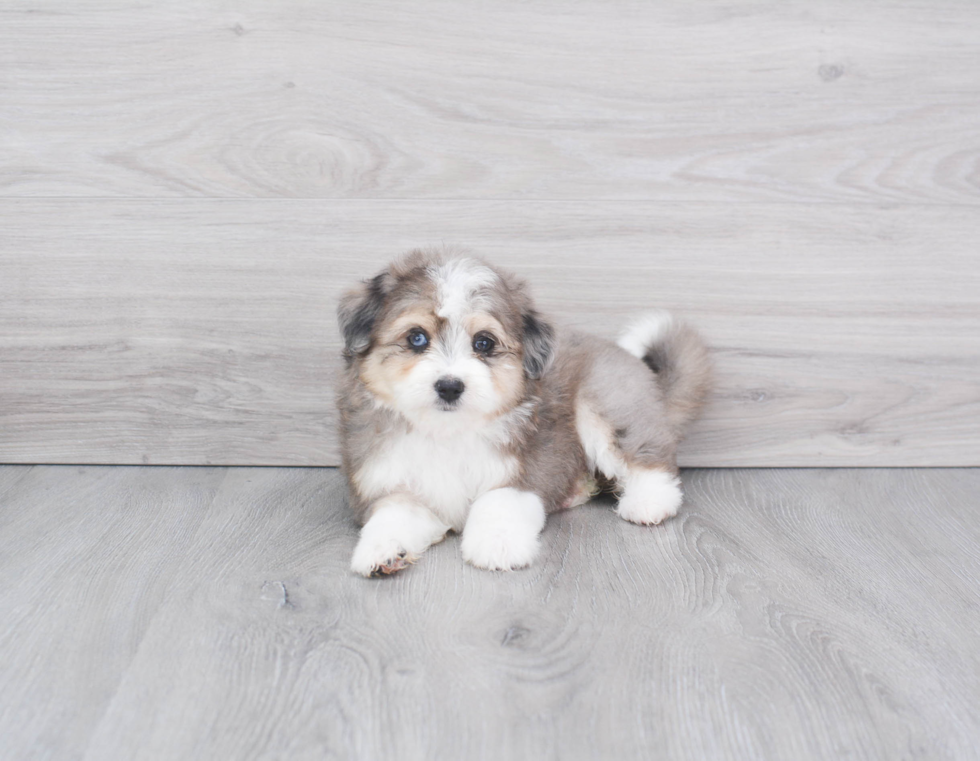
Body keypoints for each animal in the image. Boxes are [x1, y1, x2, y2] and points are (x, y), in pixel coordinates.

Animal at [336, 249, 712, 576]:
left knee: (646, 459)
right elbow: (393, 513)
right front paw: (383, 549)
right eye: (416, 338)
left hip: (605, 402)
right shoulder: (390, 482)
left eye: (483, 343)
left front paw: (497, 544)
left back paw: (649, 503)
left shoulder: (525, 469)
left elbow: (498, 502)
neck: (447, 431)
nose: (449, 386)